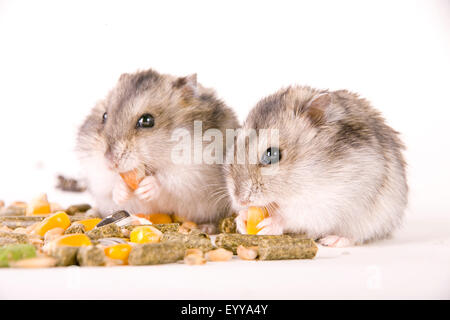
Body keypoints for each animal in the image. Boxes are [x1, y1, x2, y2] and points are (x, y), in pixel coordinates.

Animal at [75, 69, 241, 225]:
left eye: (147, 120)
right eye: (104, 116)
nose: (110, 162)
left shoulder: (195, 171)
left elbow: (169, 180)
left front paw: (146, 188)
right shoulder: (94, 169)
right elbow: (108, 182)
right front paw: (121, 190)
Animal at [225, 85, 408, 248]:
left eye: (272, 155)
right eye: (234, 147)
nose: (240, 200)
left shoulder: (330, 198)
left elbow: (295, 216)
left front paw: (270, 224)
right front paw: (241, 219)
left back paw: (334, 240)